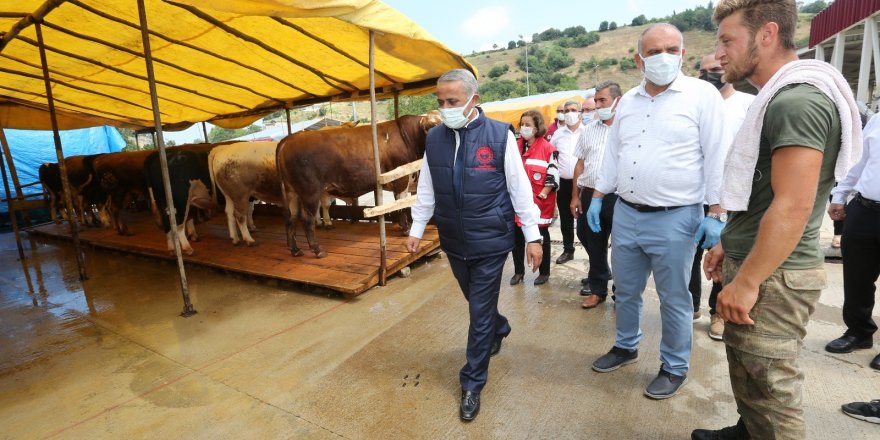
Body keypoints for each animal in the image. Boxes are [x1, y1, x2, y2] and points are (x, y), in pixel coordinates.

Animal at [276, 111, 440, 258]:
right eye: (433, 126)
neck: (408, 137)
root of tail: (289, 139)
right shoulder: (401, 179)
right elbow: (401, 205)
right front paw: (406, 229)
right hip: (309, 192)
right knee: (306, 220)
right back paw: (317, 250)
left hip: (291, 192)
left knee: (291, 218)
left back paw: (295, 250)